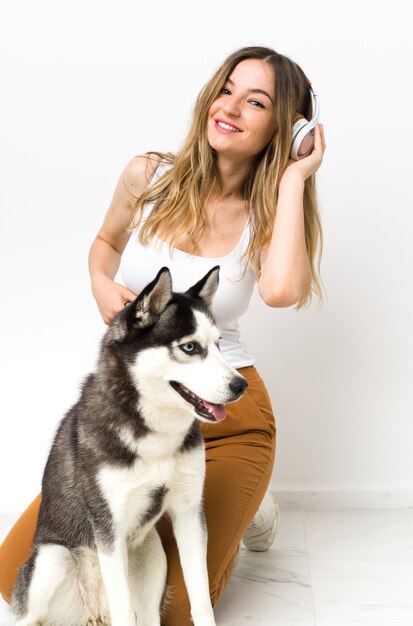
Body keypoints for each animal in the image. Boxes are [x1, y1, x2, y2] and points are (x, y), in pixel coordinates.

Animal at [11, 264, 246, 624]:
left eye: (219, 345)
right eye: (190, 348)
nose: (240, 385)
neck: (155, 434)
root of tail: (93, 613)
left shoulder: (189, 512)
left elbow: (201, 596)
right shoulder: (109, 528)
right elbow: (124, 608)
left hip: (152, 554)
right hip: (52, 559)